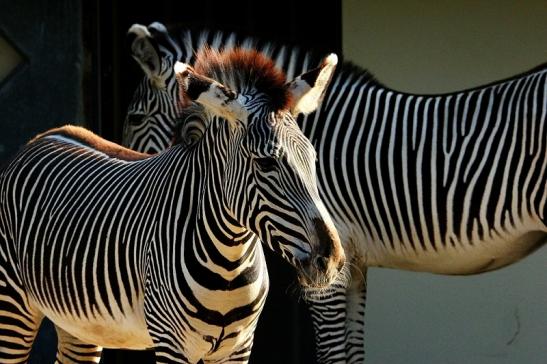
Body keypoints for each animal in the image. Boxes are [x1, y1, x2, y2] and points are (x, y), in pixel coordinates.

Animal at [0, 29, 346, 362]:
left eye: (313, 158)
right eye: (265, 163)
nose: (331, 261)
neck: (229, 264)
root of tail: (43, 137)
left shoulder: (239, 348)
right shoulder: (171, 344)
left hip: (81, 325)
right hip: (12, 305)